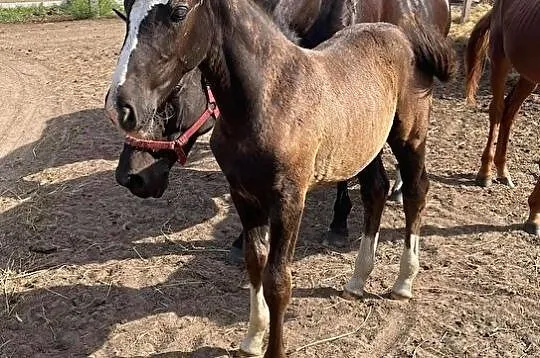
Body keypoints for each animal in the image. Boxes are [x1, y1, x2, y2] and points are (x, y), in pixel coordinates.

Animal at [103, 0, 454, 356]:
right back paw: (357, 280)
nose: (120, 107)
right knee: (375, 191)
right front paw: (251, 340)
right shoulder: (243, 195)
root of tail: (402, 34)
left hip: (409, 135)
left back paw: (403, 282)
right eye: (128, 10)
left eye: (178, 12)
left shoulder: (288, 199)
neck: (272, 97)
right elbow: (255, 263)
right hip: (364, 144)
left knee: (416, 191)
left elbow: (277, 280)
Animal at [464, 0, 540, 236]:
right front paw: (534, 214)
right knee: (497, 110)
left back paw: (502, 170)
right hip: (500, 56)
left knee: (510, 111)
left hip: (529, 76)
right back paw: (485, 173)